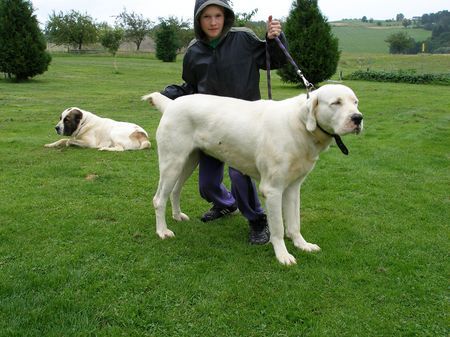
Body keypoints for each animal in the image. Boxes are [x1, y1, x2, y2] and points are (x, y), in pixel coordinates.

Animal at [142, 84, 364, 266]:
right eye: (336, 103)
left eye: (355, 102)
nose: (358, 118)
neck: (299, 125)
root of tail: (171, 103)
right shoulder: (272, 190)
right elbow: (278, 227)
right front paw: (282, 255)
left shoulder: (293, 188)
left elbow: (294, 223)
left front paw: (302, 244)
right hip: (172, 163)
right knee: (158, 199)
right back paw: (162, 231)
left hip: (188, 162)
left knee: (175, 191)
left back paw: (177, 215)